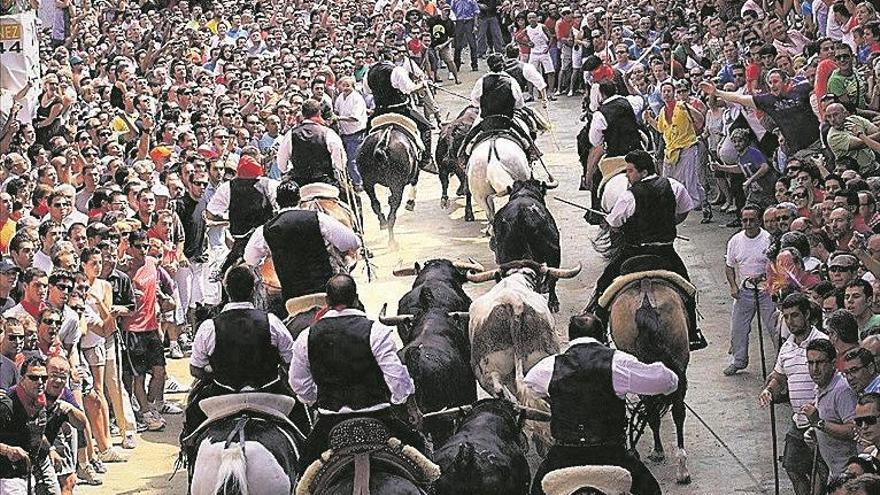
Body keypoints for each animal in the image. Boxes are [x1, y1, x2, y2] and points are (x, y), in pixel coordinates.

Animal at [360, 115, 424, 248]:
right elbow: (414, 181)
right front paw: (410, 203)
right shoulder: (414, 172)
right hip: (397, 185)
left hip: (368, 183)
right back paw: (392, 242)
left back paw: (383, 223)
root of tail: (382, 145)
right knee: (393, 211)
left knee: (375, 203)